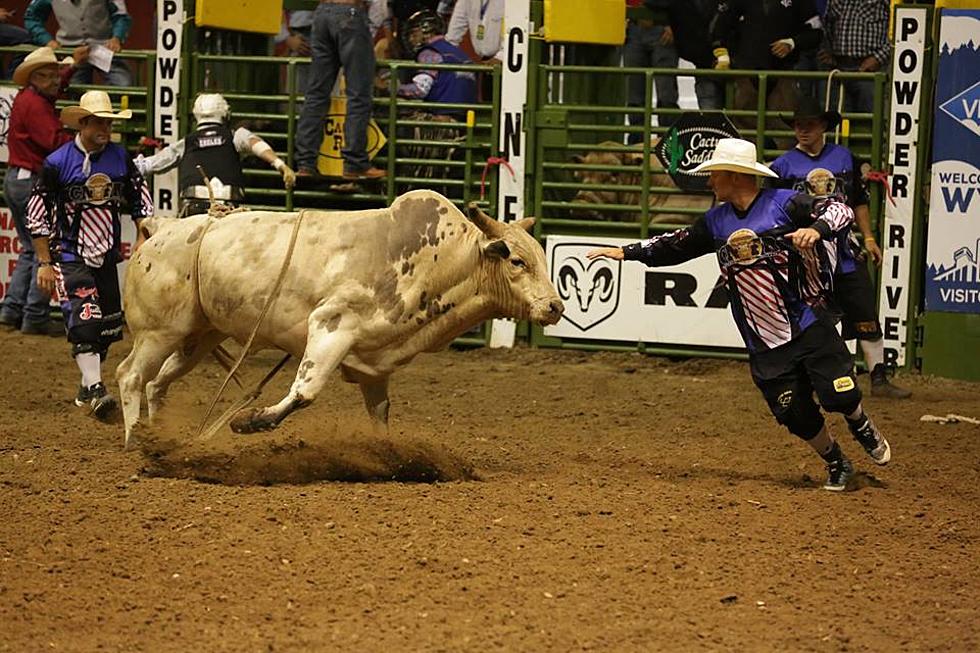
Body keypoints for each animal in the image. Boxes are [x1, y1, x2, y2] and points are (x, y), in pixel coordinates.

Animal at [116, 186, 564, 446]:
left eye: (543, 259)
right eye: (518, 261)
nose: (555, 307)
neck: (437, 262)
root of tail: (158, 230)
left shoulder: (376, 364)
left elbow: (380, 414)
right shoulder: (331, 325)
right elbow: (305, 391)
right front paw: (251, 421)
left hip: (198, 336)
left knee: (157, 382)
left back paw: (159, 435)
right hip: (158, 331)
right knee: (130, 375)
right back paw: (134, 439)